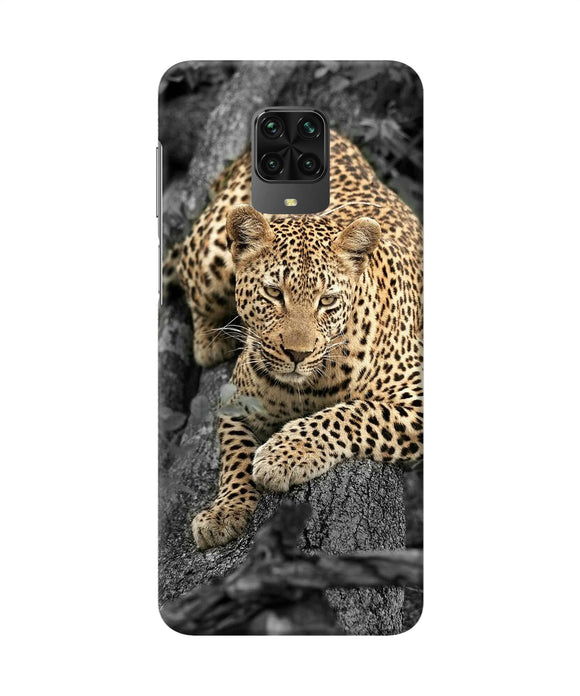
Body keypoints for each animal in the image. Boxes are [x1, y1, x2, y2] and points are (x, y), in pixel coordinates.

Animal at [172, 130, 423, 550]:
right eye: (274, 293)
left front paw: (282, 455)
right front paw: (225, 510)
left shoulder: (416, 397)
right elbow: (234, 454)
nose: (296, 354)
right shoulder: (235, 400)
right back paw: (211, 341)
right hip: (211, 256)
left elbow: (352, 413)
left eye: (327, 300)